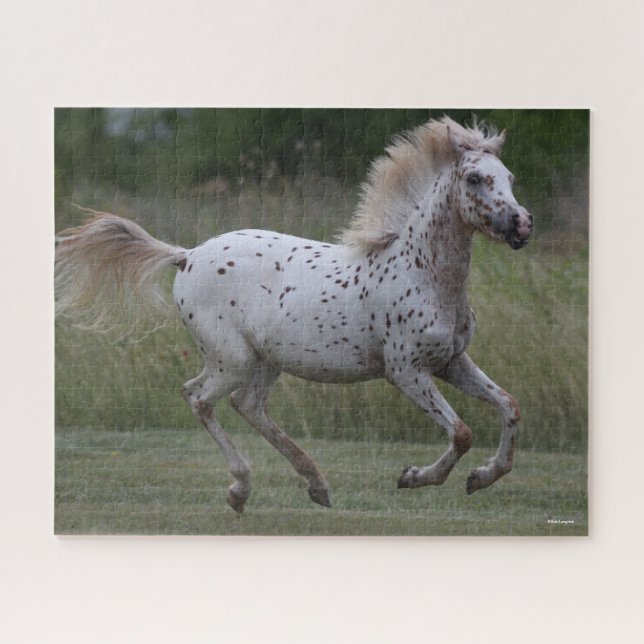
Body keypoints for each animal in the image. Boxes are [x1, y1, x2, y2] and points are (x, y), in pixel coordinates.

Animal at [55, 116, 533, 513]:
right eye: (474, 178)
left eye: (509, 177)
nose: (522, 225)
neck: (422, 273)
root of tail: (186, 256)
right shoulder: (405, 370)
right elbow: (461, 432)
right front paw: (415, 477)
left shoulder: (451, 362)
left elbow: (509, 406)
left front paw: (481, 477)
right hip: (233, 359)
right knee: (199, 397)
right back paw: (241, 489)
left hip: (267, 361)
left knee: (246, 405)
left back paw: (315, 485)